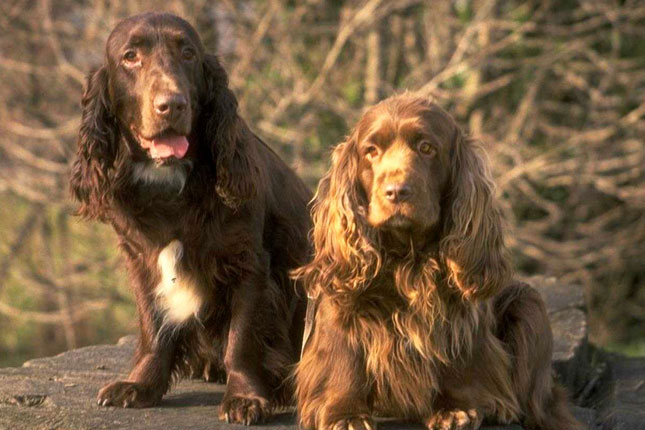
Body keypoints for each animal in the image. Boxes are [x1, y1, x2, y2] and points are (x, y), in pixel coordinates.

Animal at [70, 11, 312, 424]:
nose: (172, 104)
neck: (170, 183)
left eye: (187, 53)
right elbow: (153, 327)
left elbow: (241, 339)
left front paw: (246, 396)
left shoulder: (250, 264)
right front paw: (140, 385)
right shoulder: (141, 260)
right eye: (130, 56)